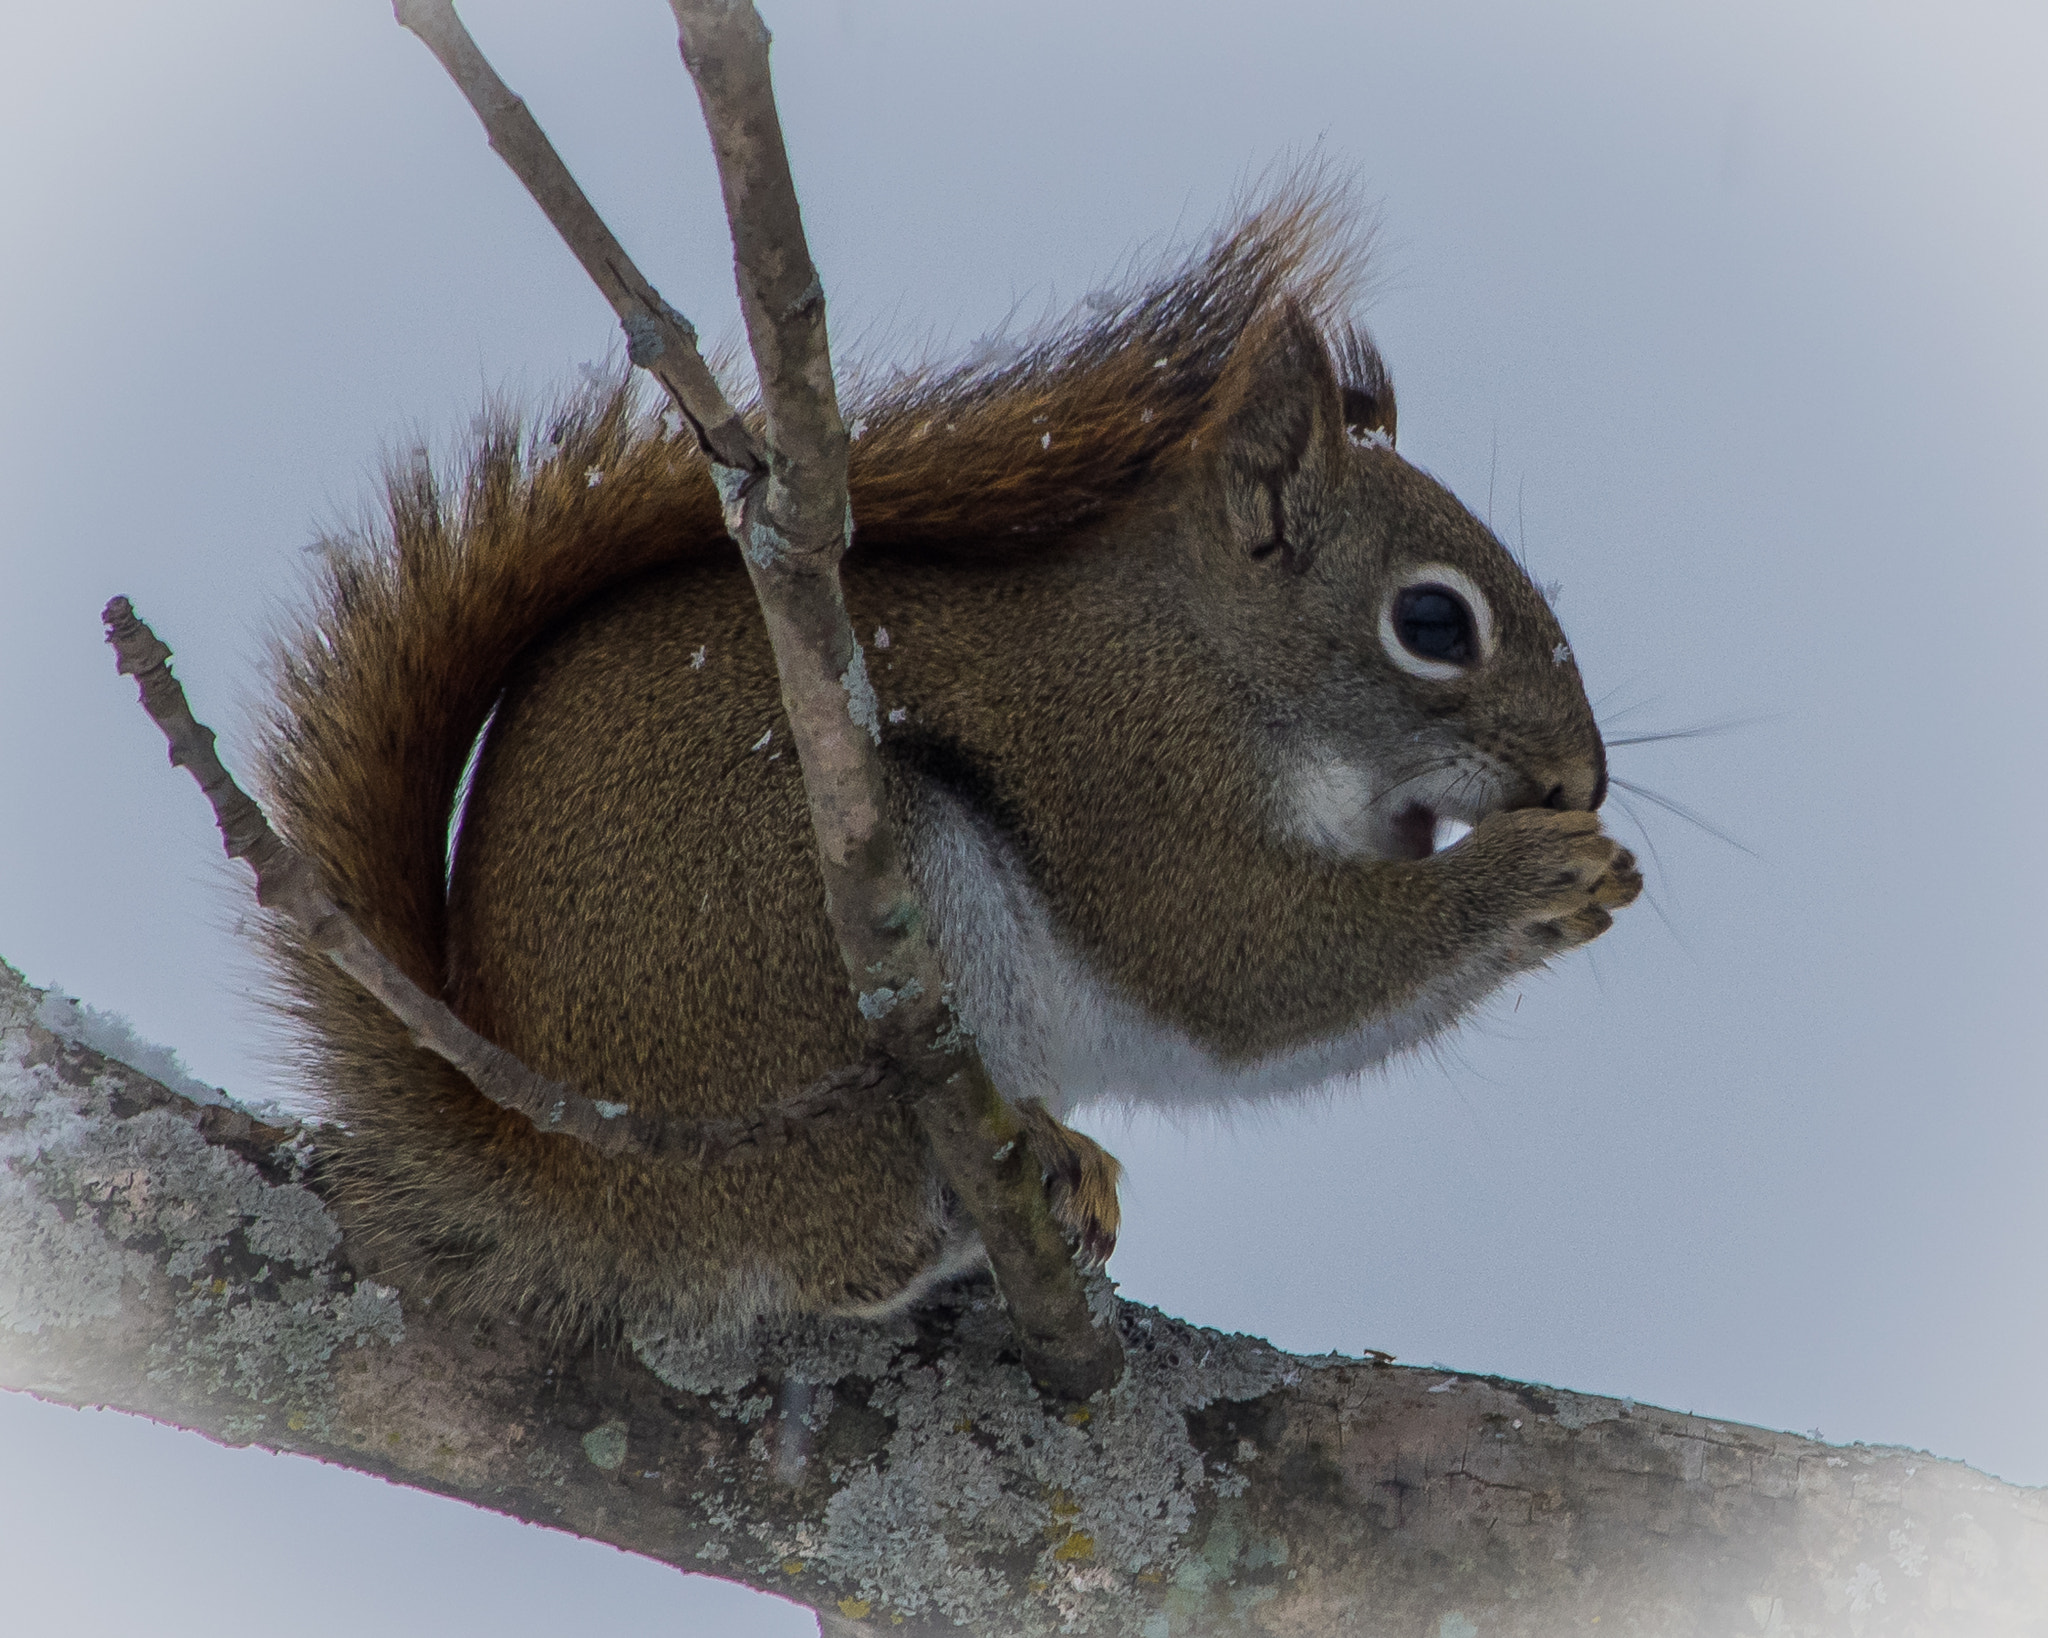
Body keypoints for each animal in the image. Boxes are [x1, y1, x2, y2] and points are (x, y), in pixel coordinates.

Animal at [260, 188, 1630, 1343]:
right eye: (1433, 623)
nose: (1580, 785)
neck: (1207, 658)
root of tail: (582, 1189)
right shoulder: (1130, 772)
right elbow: (1243, 963)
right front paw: (1535, 879)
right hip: (824, 952)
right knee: (836, 1258)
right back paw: (1003, 1189)